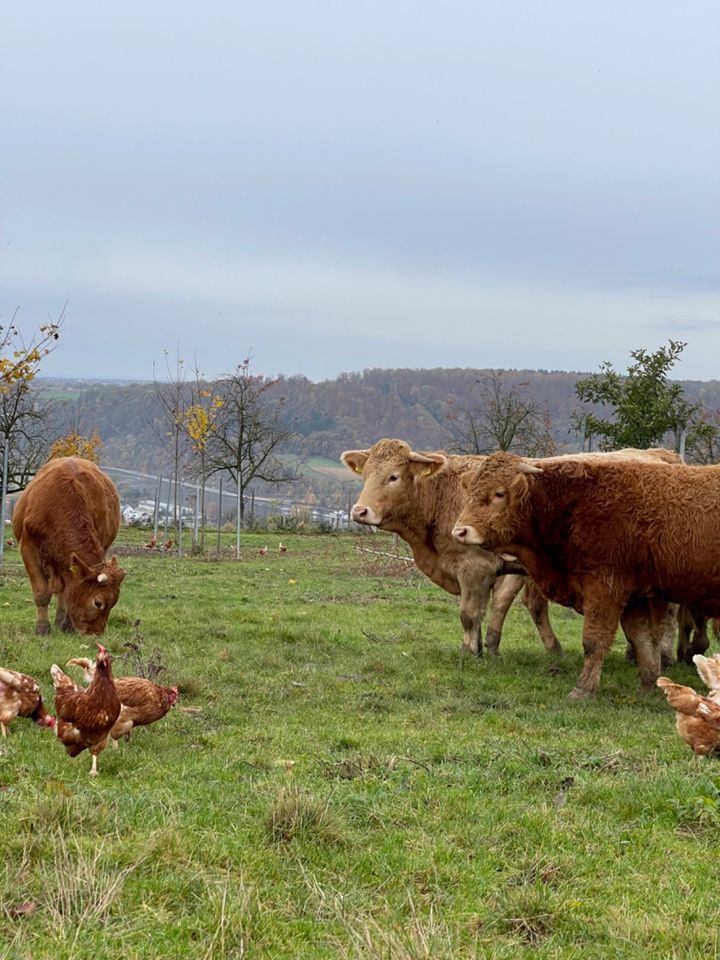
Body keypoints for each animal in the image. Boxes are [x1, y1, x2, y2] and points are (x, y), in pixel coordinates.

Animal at [11, 458, 126, 636]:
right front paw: (42, 627)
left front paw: (67, 625)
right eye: (98, 603)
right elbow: (41, 592)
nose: (96, 633)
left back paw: (61, 620)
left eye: (113, 603)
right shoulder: (27, 547)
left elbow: (69, 590)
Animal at [340, 438, 560, 656]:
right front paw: (479, 650)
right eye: (366, 475)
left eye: (393, 476)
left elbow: (469, 614)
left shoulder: (475, 567)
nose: (359, 511)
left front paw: (468, 653)